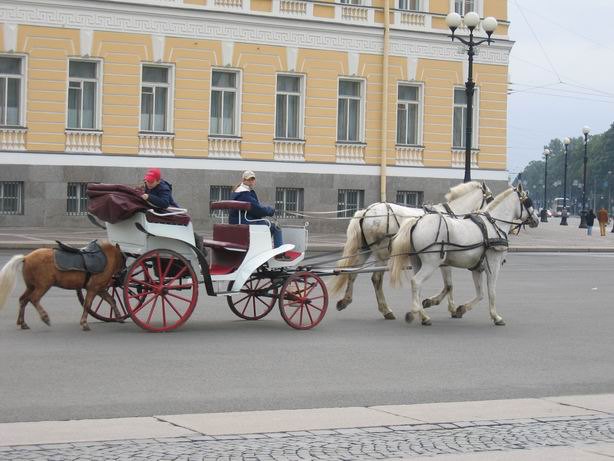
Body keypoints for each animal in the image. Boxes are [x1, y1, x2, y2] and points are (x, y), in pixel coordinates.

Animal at [330, 181, 494, 318]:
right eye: (491, 199)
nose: (489, 217)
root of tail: (366, 211)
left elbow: (448, 286)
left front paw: (446, 307)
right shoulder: (443, 260)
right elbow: (449, 286)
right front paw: (438, 304)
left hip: (365, 250)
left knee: (353, 273)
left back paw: (345, 301)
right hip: (381, 254)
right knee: (376, 279)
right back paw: (386, 310)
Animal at [394, 184, 540, 328]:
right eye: (528, 202)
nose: (537, 220)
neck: (493, 225)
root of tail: (416, 222)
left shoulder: (477, 268)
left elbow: (480, 293)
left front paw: (461, 309)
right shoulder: (493, 265)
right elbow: (491, 291)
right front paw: (496, 316)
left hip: (417, 262)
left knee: (418, 287)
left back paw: (423, 315)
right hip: (431, 263)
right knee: (416, 282)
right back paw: (415, 312)